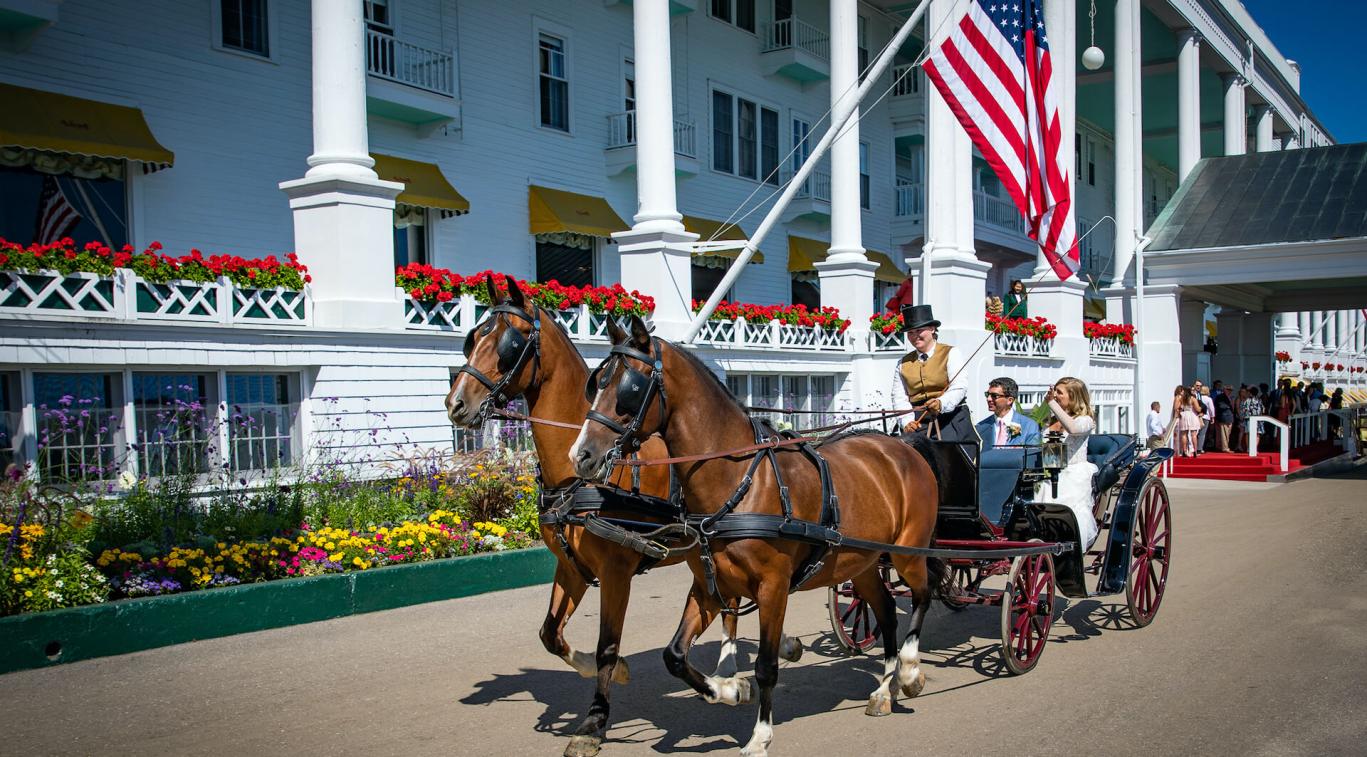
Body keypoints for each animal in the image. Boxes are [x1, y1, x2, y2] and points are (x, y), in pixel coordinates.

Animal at [440, 277, 798, 754]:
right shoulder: (571, 567)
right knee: (731, 605)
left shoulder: (615, 571)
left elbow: (608, 644)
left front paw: (595, 721)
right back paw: (730, 667)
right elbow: (550, 634)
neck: (579, 478)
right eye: (473, 338)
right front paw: (602, 670)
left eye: (508, 344)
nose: (456, 403)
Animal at [571, 314, 945, 754]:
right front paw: (730, 689)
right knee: (885, 611)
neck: (739, 480)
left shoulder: (773, 587)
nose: (581, 455)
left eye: (630, 388)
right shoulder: (709, 585)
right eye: (597, 383)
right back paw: (884, 691)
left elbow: (766, 665)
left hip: (907, 552)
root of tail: (905, 448)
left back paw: (909, 672)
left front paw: (759, 734)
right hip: (862, 562)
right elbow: (674, 655)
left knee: (921, 594)